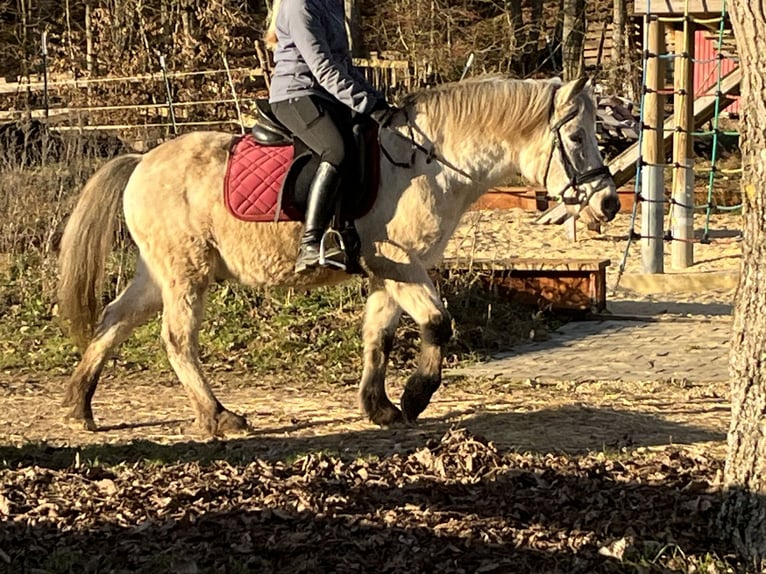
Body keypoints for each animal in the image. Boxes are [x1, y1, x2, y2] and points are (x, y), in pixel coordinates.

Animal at [57, 75, 620, 437]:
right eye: (576, 136)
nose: (609, 204)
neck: (428, 164)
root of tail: (140, 160)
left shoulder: (389, 273)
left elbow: (379, 335)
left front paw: (380, 406)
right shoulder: (399, 263)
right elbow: (437, 324)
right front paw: (415, 396)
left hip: (159, 275)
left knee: (113, 319)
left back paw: (80, 405)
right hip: (185, 276)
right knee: (176, 340)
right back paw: (218, 416)